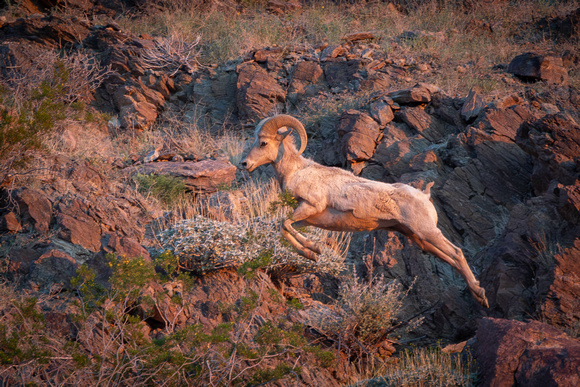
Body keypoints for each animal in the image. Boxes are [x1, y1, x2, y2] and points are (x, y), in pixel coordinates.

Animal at [240, 113, 490, 308]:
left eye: (263, 143)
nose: (245, 164)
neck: (297, 171)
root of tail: (425, 195)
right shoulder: (308, 218)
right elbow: (284, 227)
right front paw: (313, 253)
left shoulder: (311, 206)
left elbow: (283, 225)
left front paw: (314, 250)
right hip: (418, 238)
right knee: (450, 258)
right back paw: (478, 295)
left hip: (427, 232)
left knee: (457, 253)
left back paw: (481, 295)